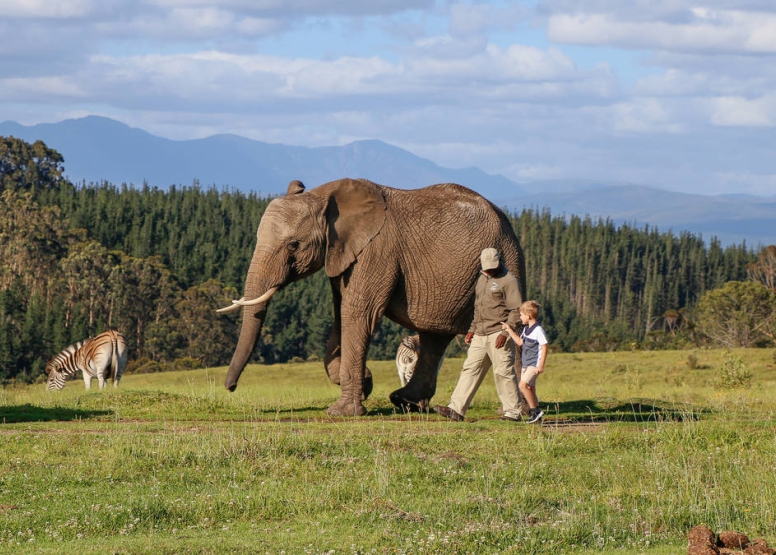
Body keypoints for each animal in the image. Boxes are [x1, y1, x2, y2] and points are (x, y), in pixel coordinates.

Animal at [218, 178, 528, 416]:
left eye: (293, 245)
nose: (230, 388)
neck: (323, 195)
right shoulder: (341, 255)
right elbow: (340, 314)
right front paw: (365, 384)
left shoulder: (376, 250)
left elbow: (357, 313)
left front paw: (342, 412)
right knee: (433, 337)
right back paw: (405, 403)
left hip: (507, 258)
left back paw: (515, 412)